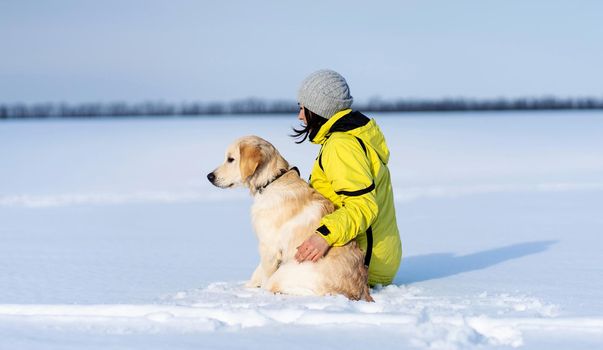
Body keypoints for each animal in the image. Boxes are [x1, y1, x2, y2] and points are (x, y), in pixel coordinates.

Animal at [208, 136, 372, 300]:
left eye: (231, 159)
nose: (209, 176)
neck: (271, 181)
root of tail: (358, 291)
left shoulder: (269, 247)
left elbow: (264, 275)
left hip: (288, 271)